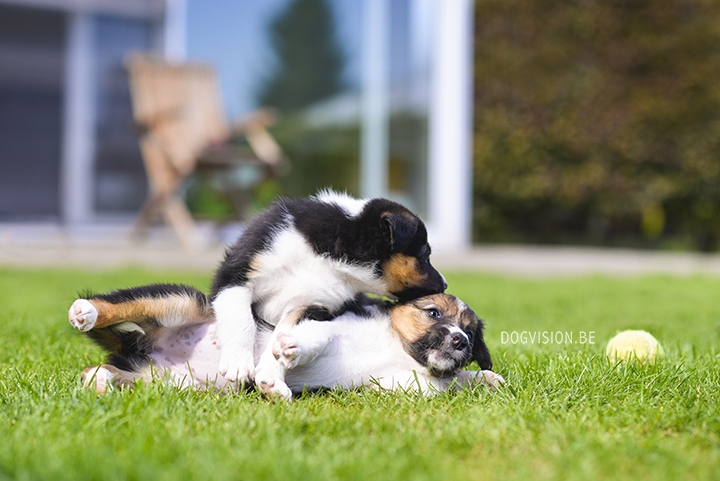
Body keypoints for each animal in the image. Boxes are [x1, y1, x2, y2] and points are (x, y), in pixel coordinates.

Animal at [70, 284, 504, 396]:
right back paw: (85, 311)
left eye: (470, 330)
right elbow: (314, 337)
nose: (460, 342)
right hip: (181, 302)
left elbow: (449, 382)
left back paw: (100, 381)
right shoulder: (321, 315)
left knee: (100, 369)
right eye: (433, 313)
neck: (397, 349)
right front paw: (287, 356)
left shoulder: (408, 385)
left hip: (172, 383)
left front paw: (485, 377)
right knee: (115, 307)